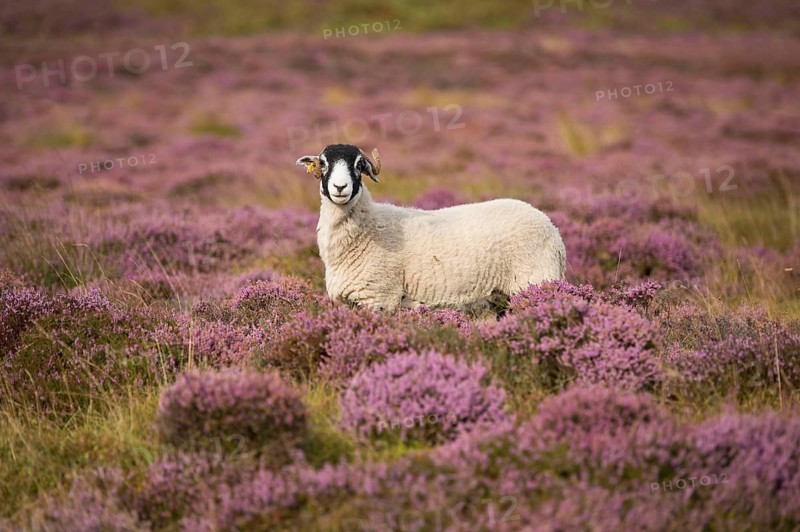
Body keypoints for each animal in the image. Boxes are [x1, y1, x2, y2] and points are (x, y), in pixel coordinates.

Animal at [295, 144, 566, 311]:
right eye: (323, 163)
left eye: (359, 165)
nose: (340, 187)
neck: (368, 228)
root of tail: (552, 228)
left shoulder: (379, 298)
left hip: (535, 280)